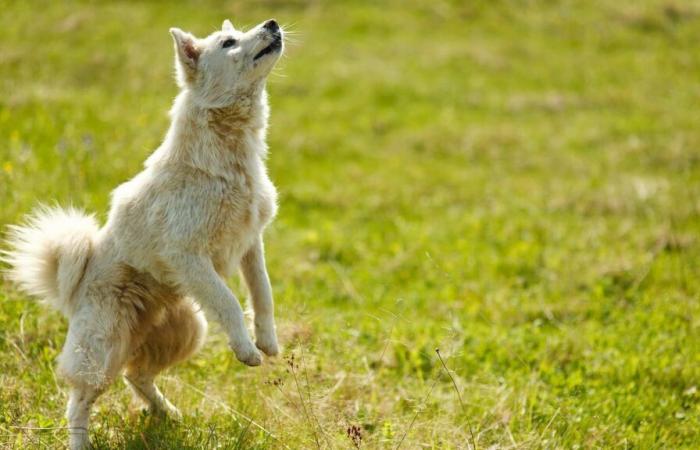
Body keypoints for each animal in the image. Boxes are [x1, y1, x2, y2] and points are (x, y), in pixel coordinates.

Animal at [4, 18, 284, 450]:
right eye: (229, 41)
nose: (271, 23)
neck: (227, 158)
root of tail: (72, 289)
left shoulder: (251, 243)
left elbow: (262, 295)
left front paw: (267, 342)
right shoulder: (187, 253)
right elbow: (229, 301)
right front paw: (246, 350)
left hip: (187, 330)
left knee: (136, 376)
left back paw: (167, 413)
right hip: (101, 352)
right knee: (79, 402)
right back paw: (82, 442)